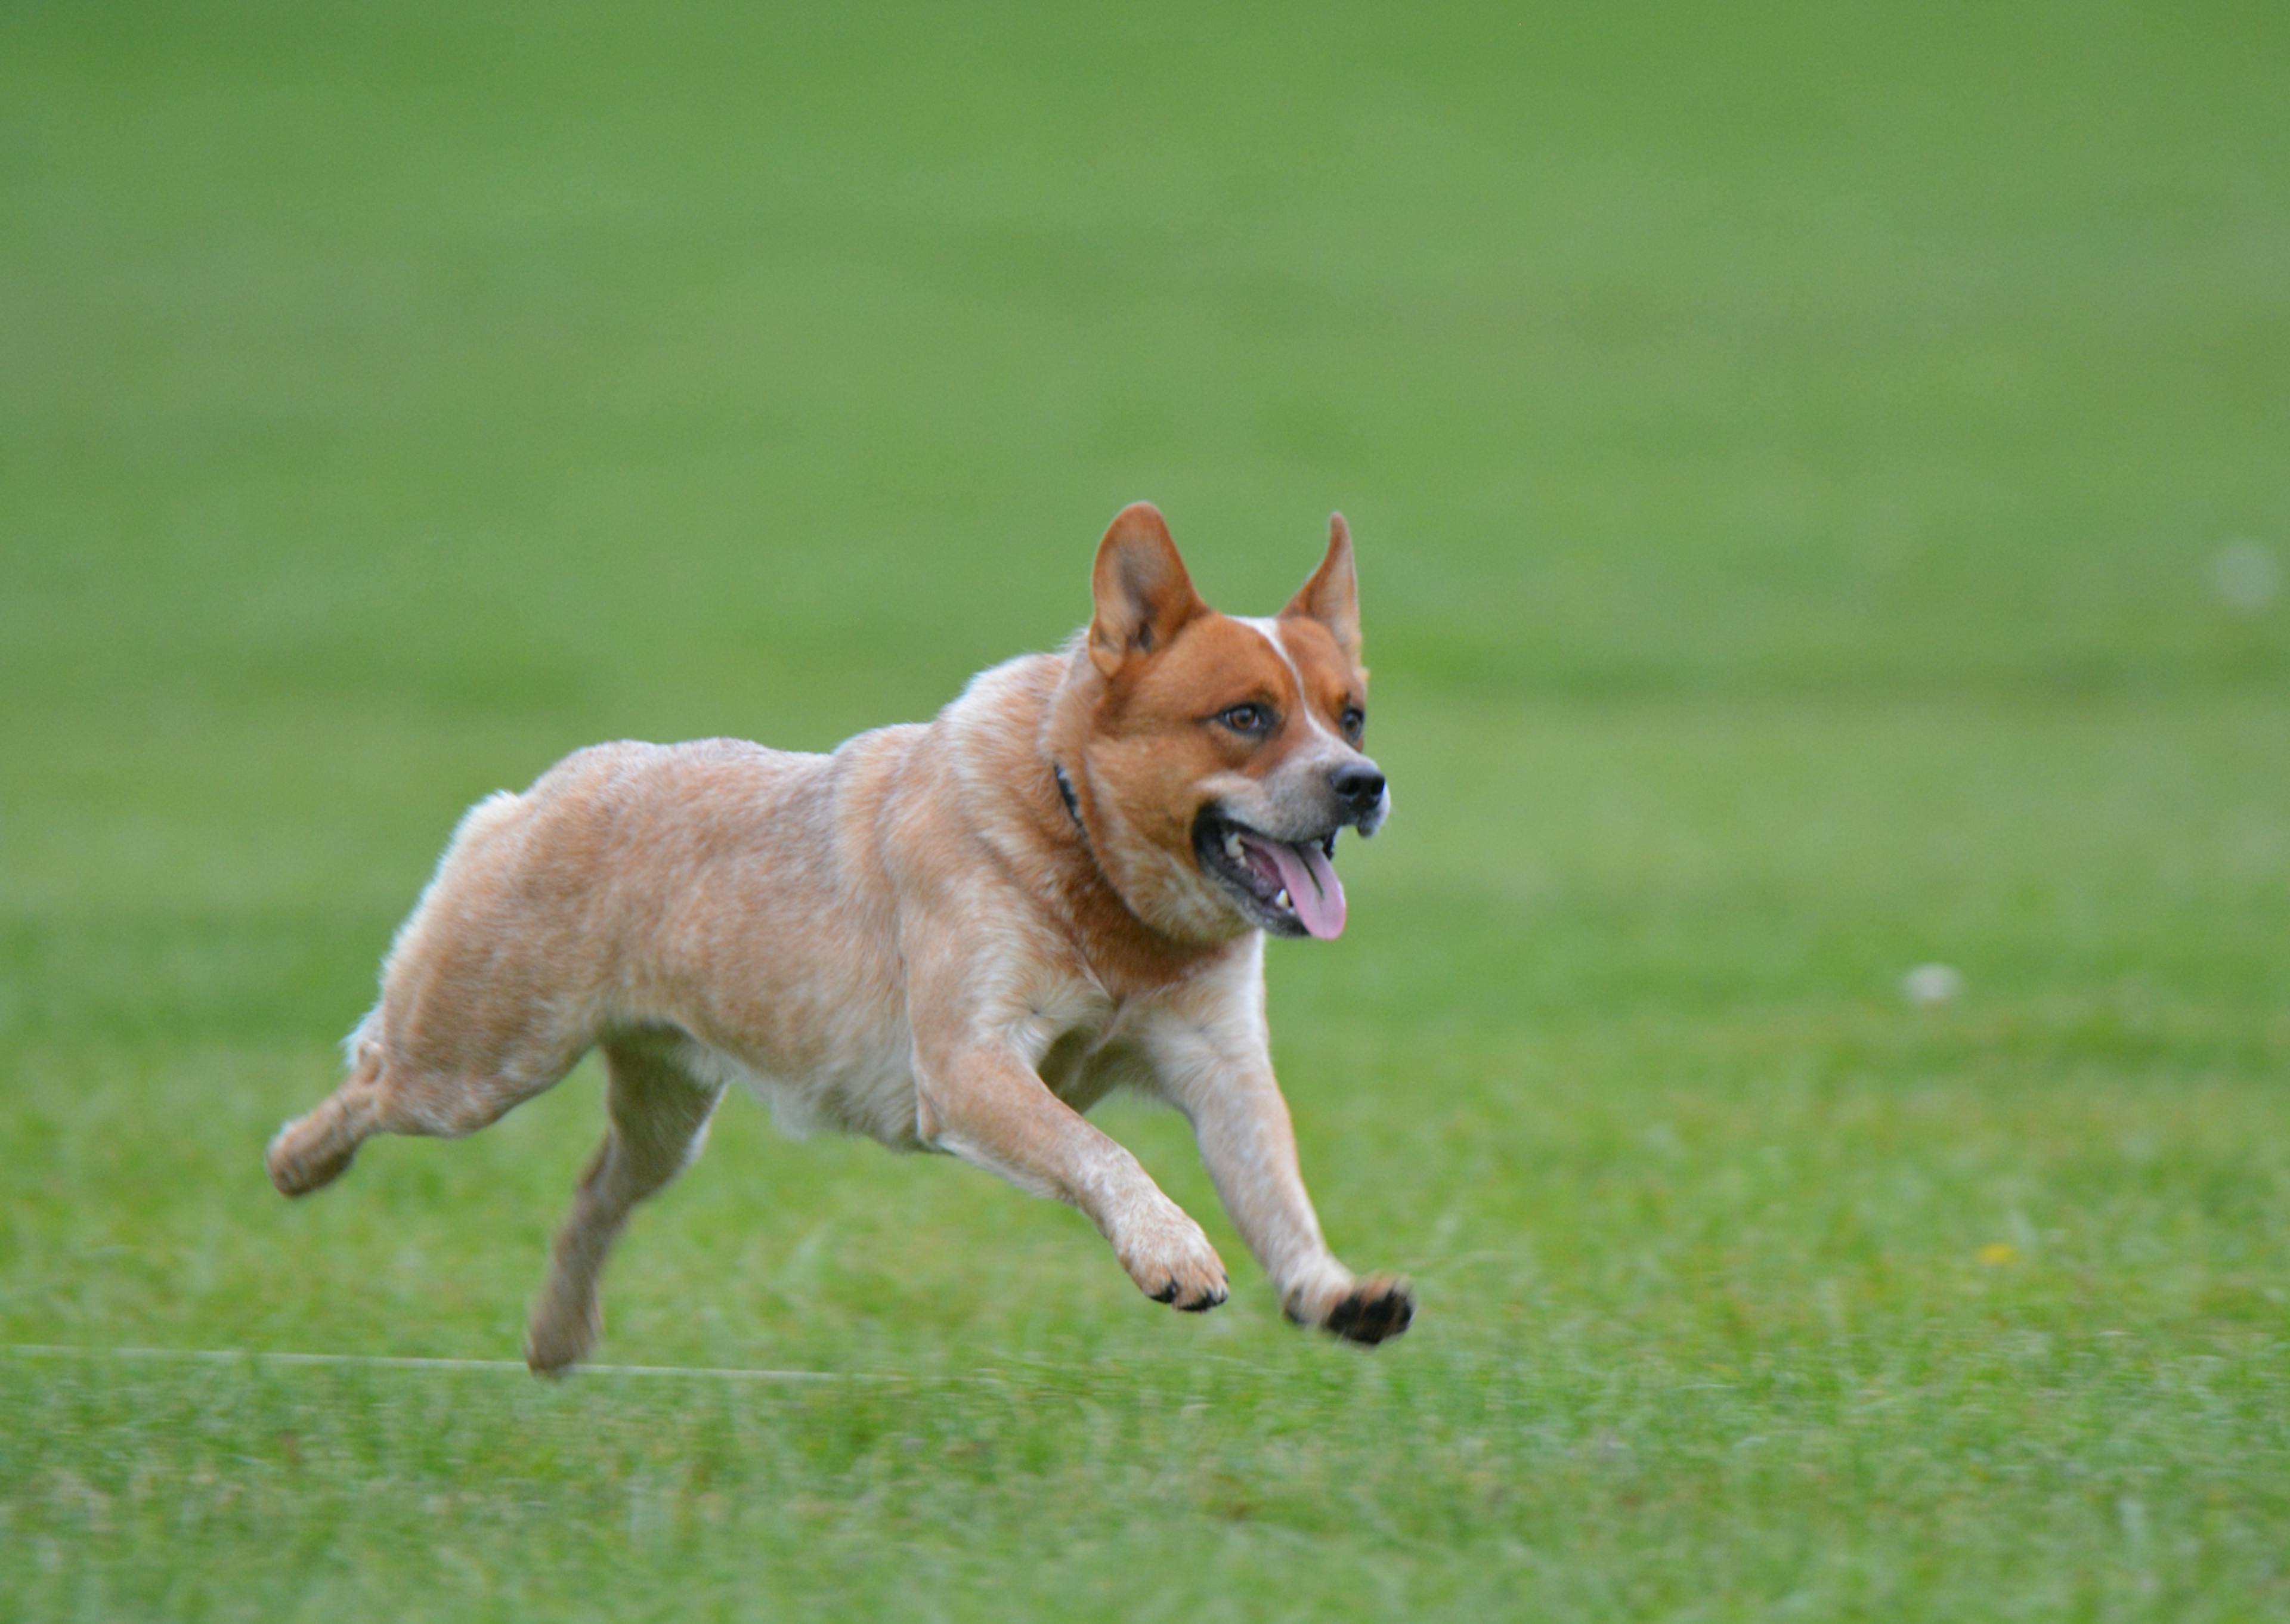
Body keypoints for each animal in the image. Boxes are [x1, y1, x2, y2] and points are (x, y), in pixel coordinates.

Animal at [268, 499, 1410, 1365]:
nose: (1364, 783)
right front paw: (1173, 1253)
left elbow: (1276, 1187)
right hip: (478, 1060)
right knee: (373, 1078)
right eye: (1246, 716)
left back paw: (557, 1339)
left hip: (667, 1112)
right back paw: (296, 1163)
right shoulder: (968, 1063)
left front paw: (1334, 1291)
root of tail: (550, 788)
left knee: (597, 1190)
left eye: (1350, 713)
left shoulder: (1220, 1065)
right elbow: (1103, 1149)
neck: (1098, 877)